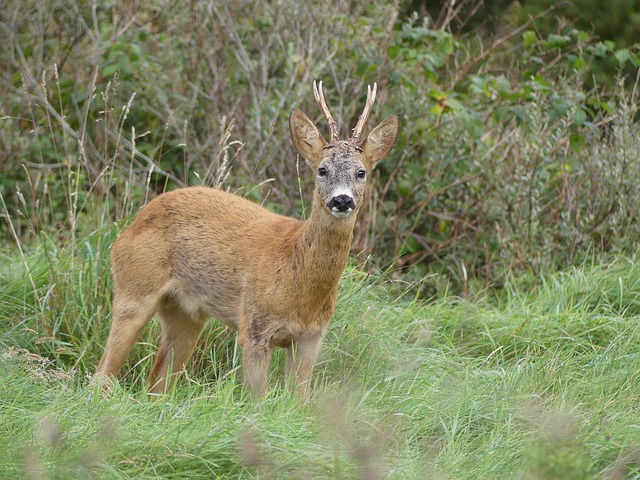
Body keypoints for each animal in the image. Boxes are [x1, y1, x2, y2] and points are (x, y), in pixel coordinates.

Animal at [93, 80, 398, 398]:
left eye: (361, 172)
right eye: (322, 169)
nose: (342, 200)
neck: (298, 277)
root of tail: (129, 227)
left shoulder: (311, 337)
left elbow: (300, 401)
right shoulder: (254, 329)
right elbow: (258, 400)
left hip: (186, 313)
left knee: (158, 381)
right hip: (134, 288)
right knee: (102, 372)